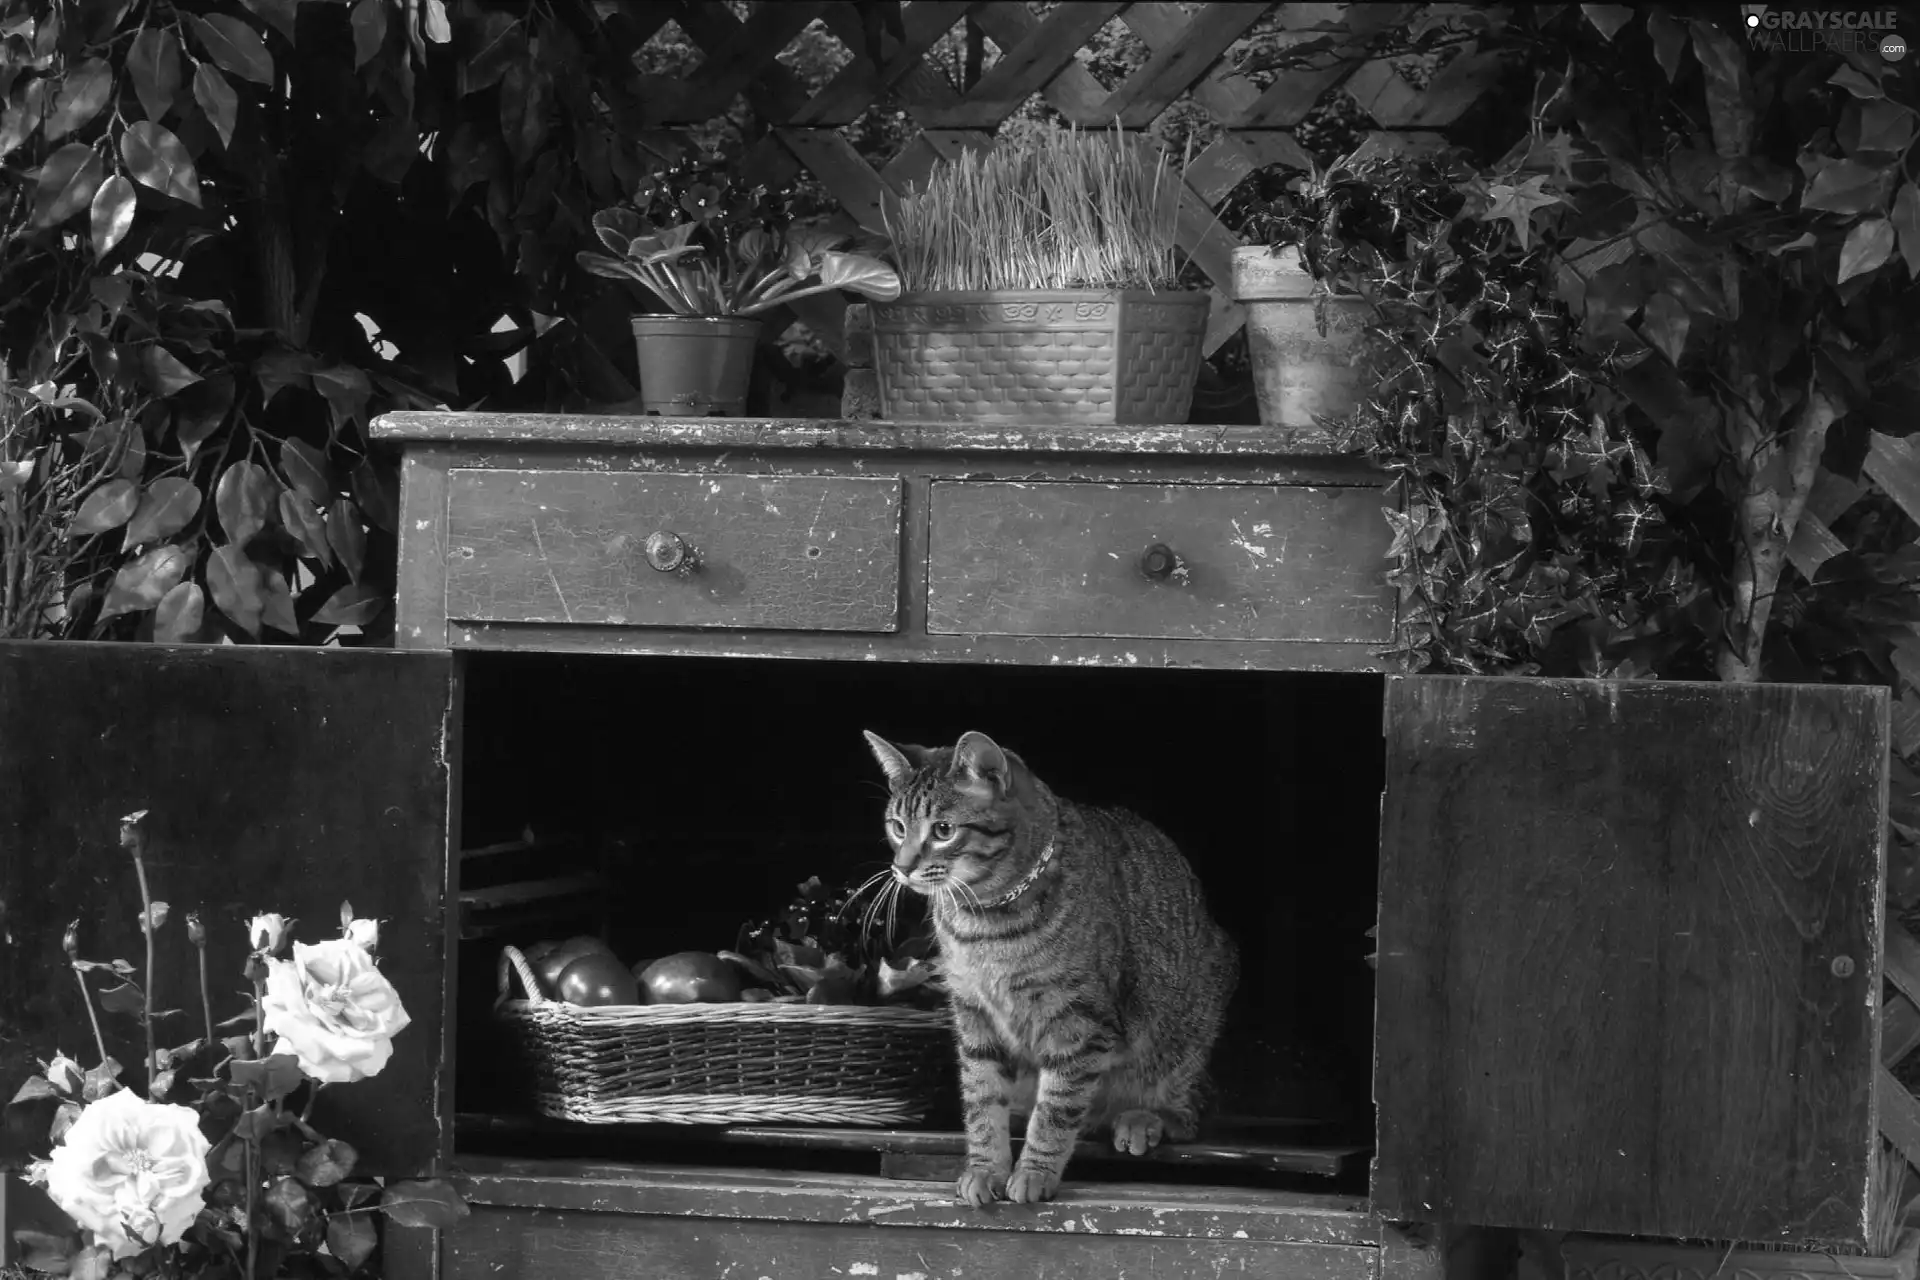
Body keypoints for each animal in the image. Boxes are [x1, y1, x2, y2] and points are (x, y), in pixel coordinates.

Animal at [864, 725, 1236, 1205]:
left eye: (943, 831)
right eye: (897, 827)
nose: (901, 867)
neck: (984, 922)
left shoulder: (1078, 1023)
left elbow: (1057, 1108)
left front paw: (1035, 1171)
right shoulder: (973, 1015)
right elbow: (981, 1098)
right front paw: (986, 1166)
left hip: (1187, 1024)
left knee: (1187, 1108)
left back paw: (1143, 1118)